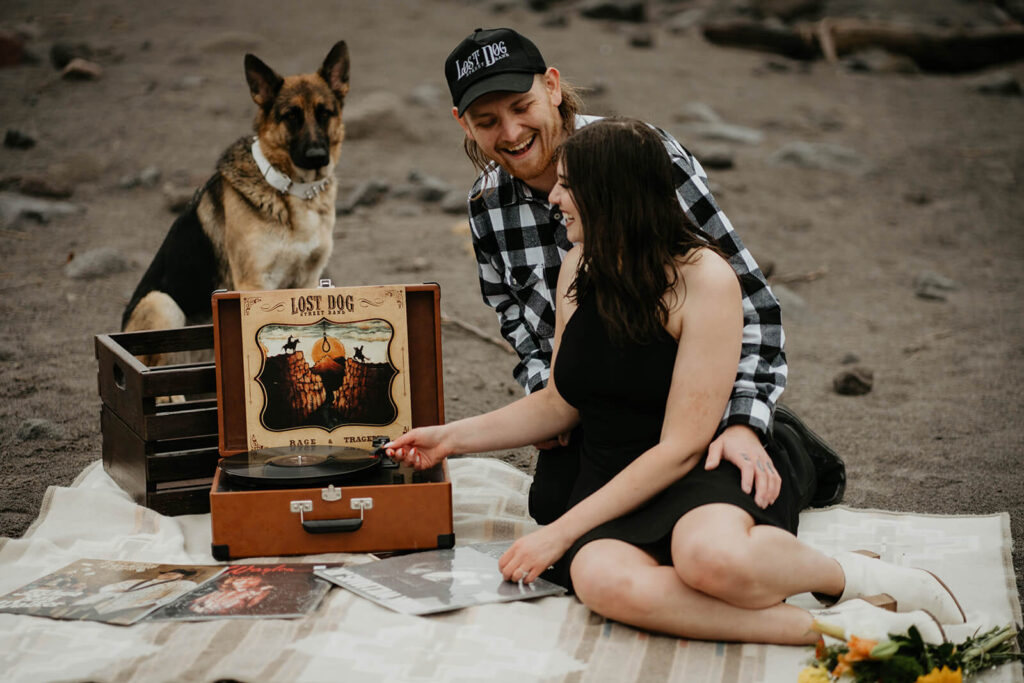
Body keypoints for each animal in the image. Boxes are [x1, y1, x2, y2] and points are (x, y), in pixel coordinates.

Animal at [120, 41, 348, 368]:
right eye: (291, 116)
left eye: (325, 113)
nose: (317, 156)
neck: (290, 190)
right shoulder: (253, 282)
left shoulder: (308, 279)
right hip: (162, 302)